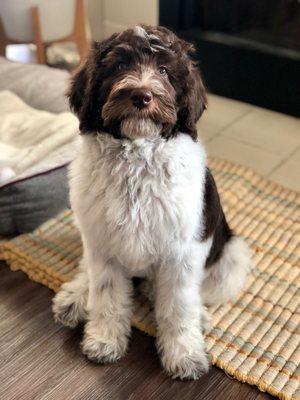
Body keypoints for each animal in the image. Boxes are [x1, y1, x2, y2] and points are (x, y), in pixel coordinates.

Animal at [52, 25, 251, 382]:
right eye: (119, 66)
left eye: (164, 72)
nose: (141, 96)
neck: (137, 156)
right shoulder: (102, 244)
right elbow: (106, 294)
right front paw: (104, 340)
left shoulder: (184, 251)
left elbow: (179, 307)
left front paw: (184, 353)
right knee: (87, 271)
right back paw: (75, 298)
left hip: (232, 259)